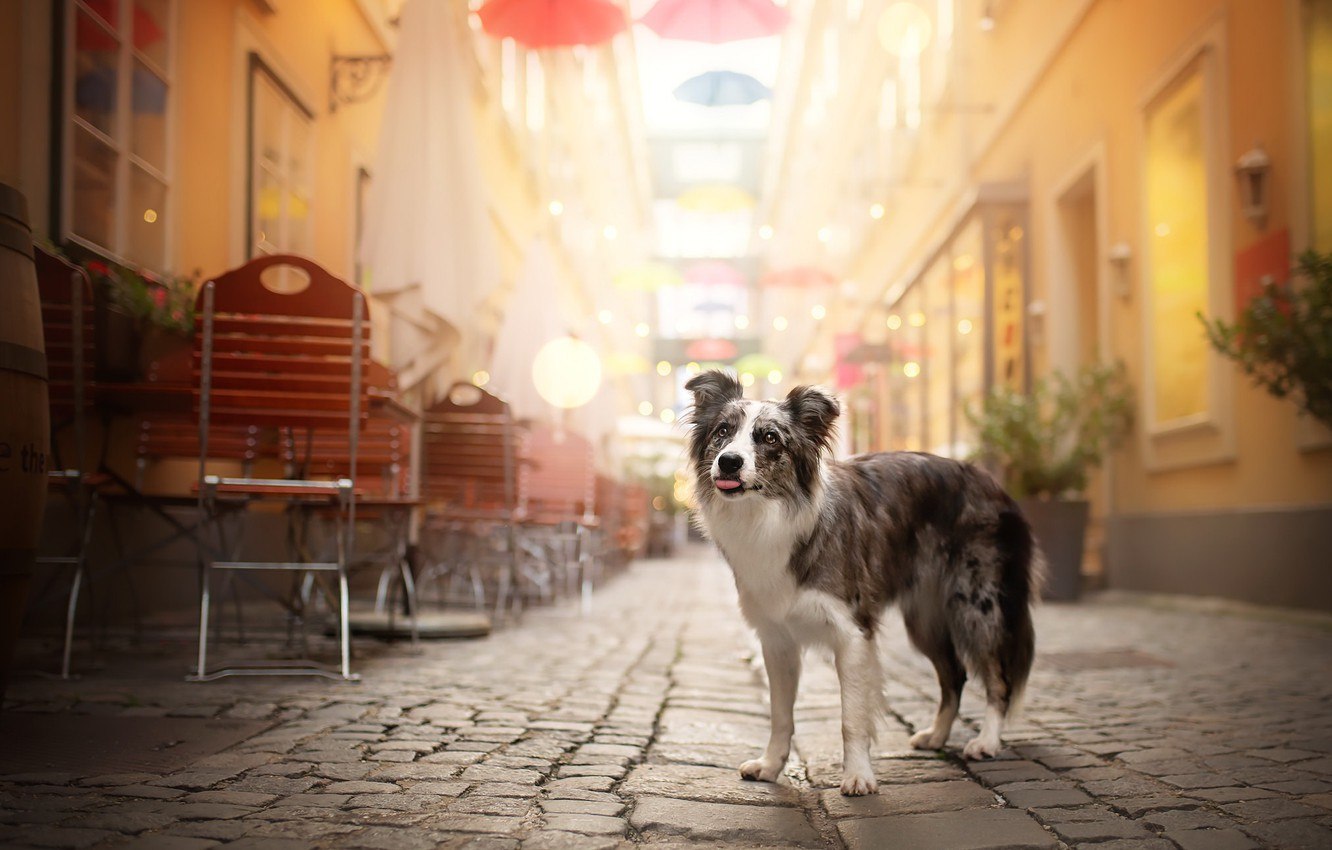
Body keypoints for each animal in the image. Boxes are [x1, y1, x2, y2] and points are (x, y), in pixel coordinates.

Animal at [687, 373, 1038, 799]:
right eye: (722, 431)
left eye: (769, 437)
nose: (729, 461)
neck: (770, 516)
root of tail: (992, 482)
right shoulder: (777, 639)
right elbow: (780, 714)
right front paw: (771, 766)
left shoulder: (852, 633)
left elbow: (852, 717)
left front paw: (858, 776)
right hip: (925, 619)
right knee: (954, 675)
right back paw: (937, 736)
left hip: (976, 606)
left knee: (998, 679)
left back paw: (986, 740)